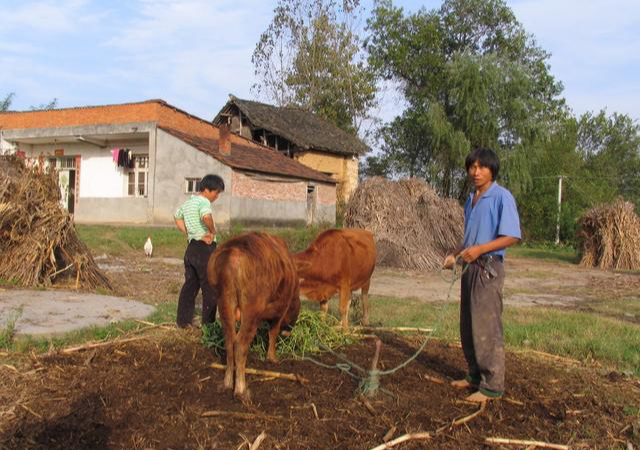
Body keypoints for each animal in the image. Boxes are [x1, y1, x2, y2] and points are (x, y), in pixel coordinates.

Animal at [209, 234, 302, 400]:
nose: (289, 329)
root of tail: (233, 253)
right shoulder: (281, 310)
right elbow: (273, 332)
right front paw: (272, 357)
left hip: (225, 303)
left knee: (229, 342)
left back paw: (227, 384)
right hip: (251, 311)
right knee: (240, 344)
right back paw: (241, 390)